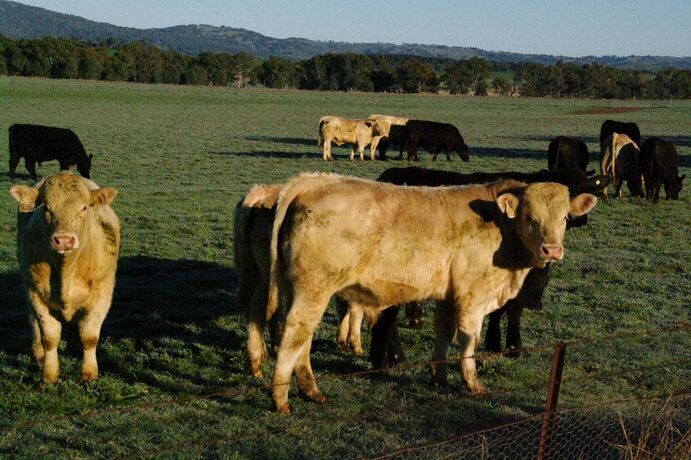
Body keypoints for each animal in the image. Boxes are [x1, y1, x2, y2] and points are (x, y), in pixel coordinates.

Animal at [10, 172, 120, 383]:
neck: (67, 270)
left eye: (84, 207)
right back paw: (38, 353)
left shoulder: (102, 293)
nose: (64, 240)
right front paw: (48, 375)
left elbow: (89, 336)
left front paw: (89, 374)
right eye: (46, 207)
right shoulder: (35, 292)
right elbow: (50, 337)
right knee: (33, 321)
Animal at [369, 166, 609, 368]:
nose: (551, 250)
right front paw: (508, 345)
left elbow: (509, 309)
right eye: (529, 217)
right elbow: (508, 309)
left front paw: (500, 343)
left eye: (565, 216)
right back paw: (392, 357)